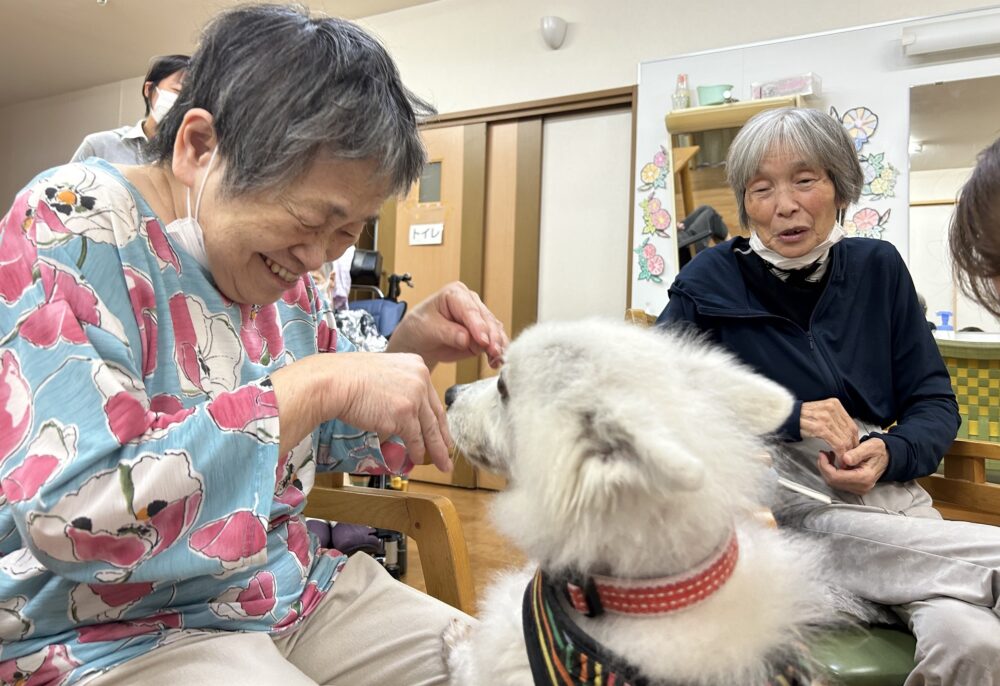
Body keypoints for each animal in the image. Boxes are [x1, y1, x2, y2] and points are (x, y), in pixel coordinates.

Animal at [444, 322, 828, 686]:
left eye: (502, 387)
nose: (449, 393)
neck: (647, 594)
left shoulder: (498, 665)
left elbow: (466, 662)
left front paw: (456, 635)